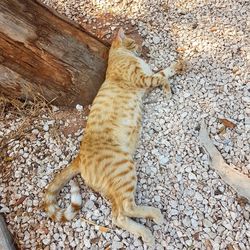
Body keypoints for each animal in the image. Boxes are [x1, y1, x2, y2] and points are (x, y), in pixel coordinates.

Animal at [44, 27, 186, 246]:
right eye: (132, 41)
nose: (140, 48)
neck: (118, 55)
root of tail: (79, 157)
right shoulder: (142, 78)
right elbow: (161, 76)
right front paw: (170, 86)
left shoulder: (146, 79)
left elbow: (162, 72)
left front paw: (175, 70)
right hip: (124, 169)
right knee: (125, 209)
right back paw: (154, 219)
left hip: (113, 187)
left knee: (117, 216)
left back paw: (145, 233)